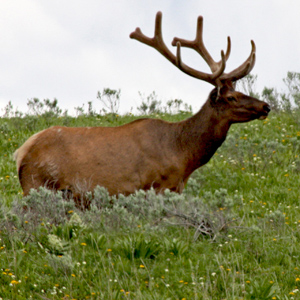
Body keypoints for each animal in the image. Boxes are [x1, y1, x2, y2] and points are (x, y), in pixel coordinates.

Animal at [14, 11, 270, 204]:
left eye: (240, 90)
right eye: (232, 97)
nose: (266, 106)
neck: (183, 155)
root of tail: (21, 152)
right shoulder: (156, 185)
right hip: (36, 183)